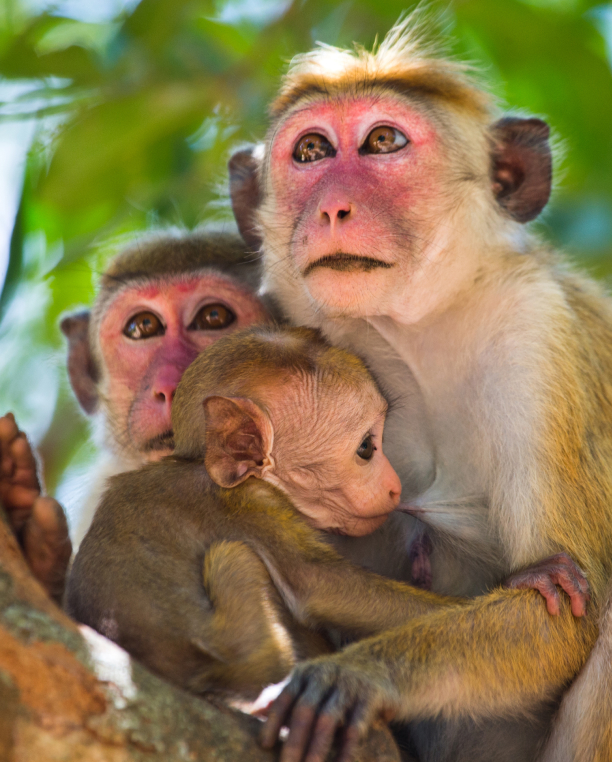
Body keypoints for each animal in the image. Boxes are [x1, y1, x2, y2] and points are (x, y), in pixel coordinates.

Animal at [227, 13, 612, 762]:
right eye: (312, 151)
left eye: (383, 142)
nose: (335, 208)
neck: (419, 333)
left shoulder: (535, 335)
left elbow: (565, 608)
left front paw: (361, 675)